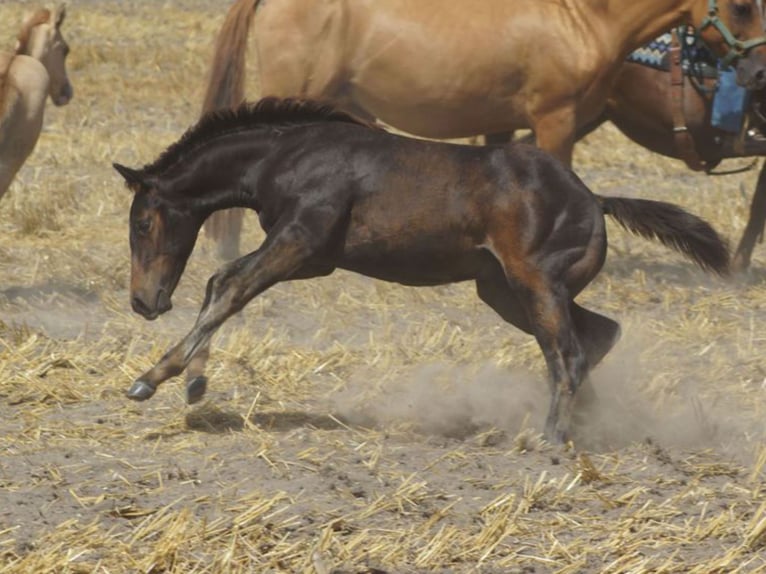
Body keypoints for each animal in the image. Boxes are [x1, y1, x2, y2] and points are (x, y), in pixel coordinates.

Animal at [112, 98, 730, 443]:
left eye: (141, 222)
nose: (144, 301)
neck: (287, 155)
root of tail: (594, 200)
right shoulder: (315, 260)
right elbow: (222, 284)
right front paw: (193, 383)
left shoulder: (300, 240)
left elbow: (229, 284)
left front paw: (151, 379)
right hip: (504, 290)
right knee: (595, 335)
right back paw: (582, 424)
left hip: (534, 285)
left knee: (570, 352)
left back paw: (550, 439)